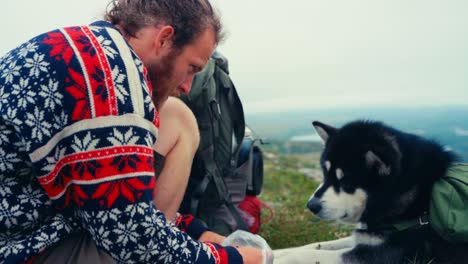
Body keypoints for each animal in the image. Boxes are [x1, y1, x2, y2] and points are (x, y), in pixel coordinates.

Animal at [274, 120, 468, 264]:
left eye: (346, 182)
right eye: (325, 174)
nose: (310, 205)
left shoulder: (380, 255)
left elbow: (311, 255)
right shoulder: (367, 237)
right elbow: (317, 245)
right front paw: (278, 252)